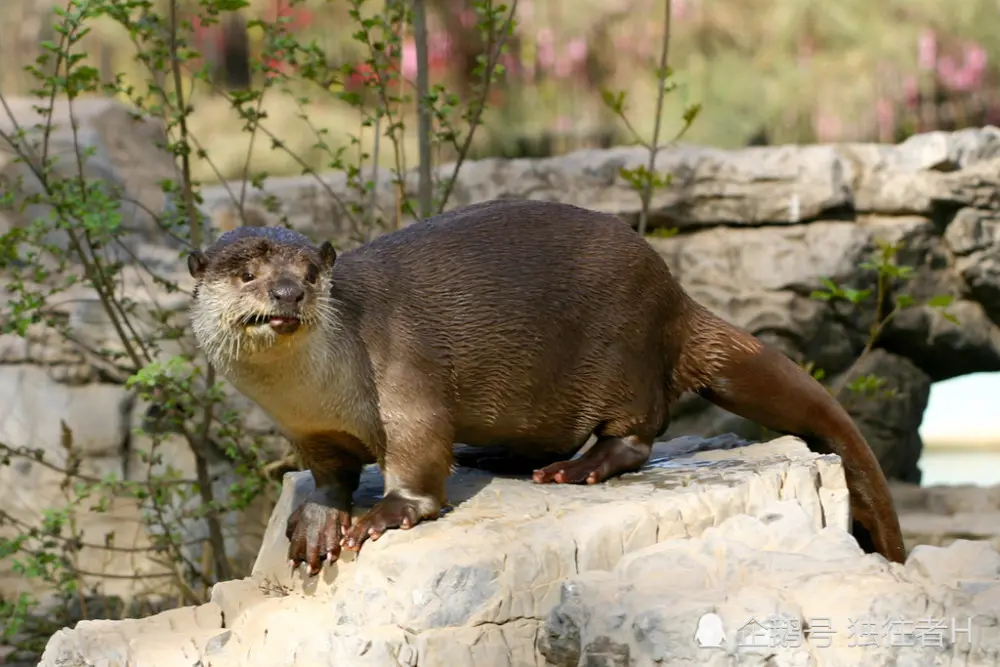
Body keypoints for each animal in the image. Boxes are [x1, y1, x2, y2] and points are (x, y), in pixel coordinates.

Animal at [186, 197, 908, 576]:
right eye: (247, 273)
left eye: (310, 273)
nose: (287, 294)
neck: (317, 391)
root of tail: (674, 295)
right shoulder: (311, 432)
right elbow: (330, 474)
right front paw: (318, 518)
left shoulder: (403, 371)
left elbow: (420, 456)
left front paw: (384, 513)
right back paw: (495, 453)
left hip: (626, 350)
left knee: (640, 433)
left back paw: (581, 468)